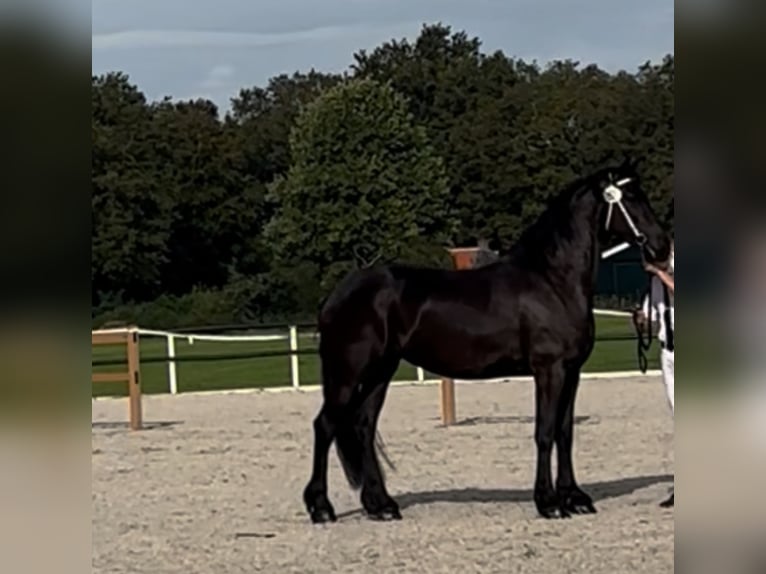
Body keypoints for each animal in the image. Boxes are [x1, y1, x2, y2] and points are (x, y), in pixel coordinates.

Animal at [302, 163, 672, 524]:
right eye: (630, 198)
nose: (661, 247)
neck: (552, 280)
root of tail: (339, 293)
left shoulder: (572, 371)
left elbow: (565, 433)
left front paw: (575, 498)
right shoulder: (549, 370)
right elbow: (545, 432)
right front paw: (549, 502)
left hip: (381, 372)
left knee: (363, 426)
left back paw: (381, 506)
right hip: (348, 372)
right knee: (325, 425)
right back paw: (321, 508)